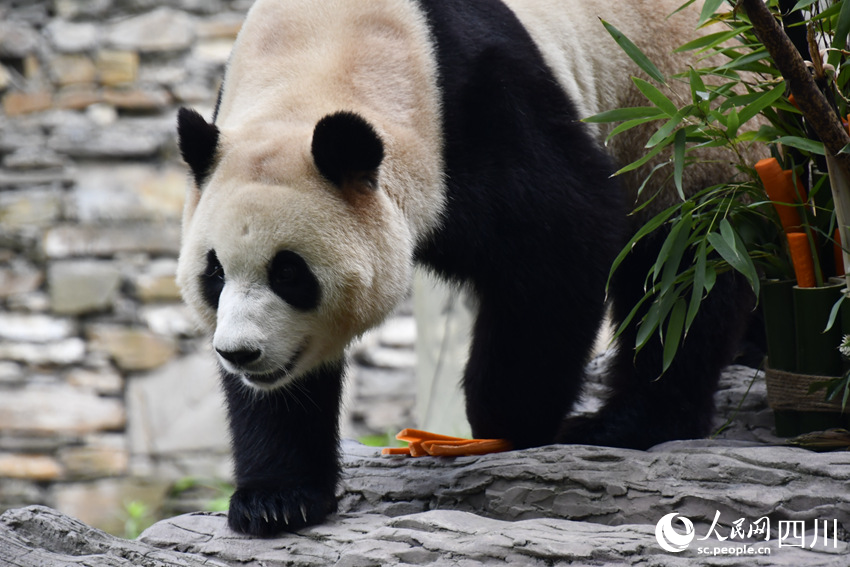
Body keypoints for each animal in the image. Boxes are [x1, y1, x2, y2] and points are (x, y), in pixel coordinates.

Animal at [176, 0, 752, 536]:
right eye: (215, 274)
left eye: (289, 274)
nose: (241, 353)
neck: (318, 59)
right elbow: (281, 391)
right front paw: (276, 500)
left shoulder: (480, 107)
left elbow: (562, 245)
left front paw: (509, 419)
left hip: (684, 125)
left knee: (682, 272)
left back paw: (626, 424)